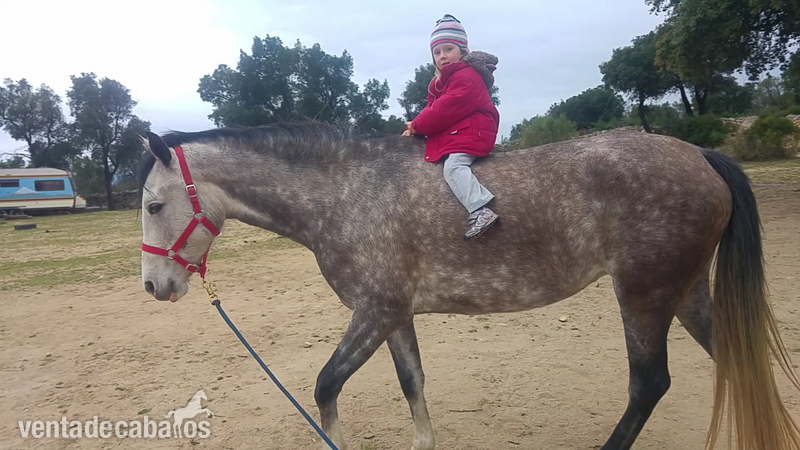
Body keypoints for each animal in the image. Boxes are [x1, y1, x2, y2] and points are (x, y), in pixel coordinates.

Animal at [138, 121, 800, 450]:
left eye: (152, 205)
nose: (153, 286)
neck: (347, 193)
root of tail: (701, 155)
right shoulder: (395, 315)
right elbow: (412, 384)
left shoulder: (374, 312)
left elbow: (326, 386)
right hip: (685, 293)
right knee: (735, 357)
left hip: (644, 295)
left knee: (649, 384)